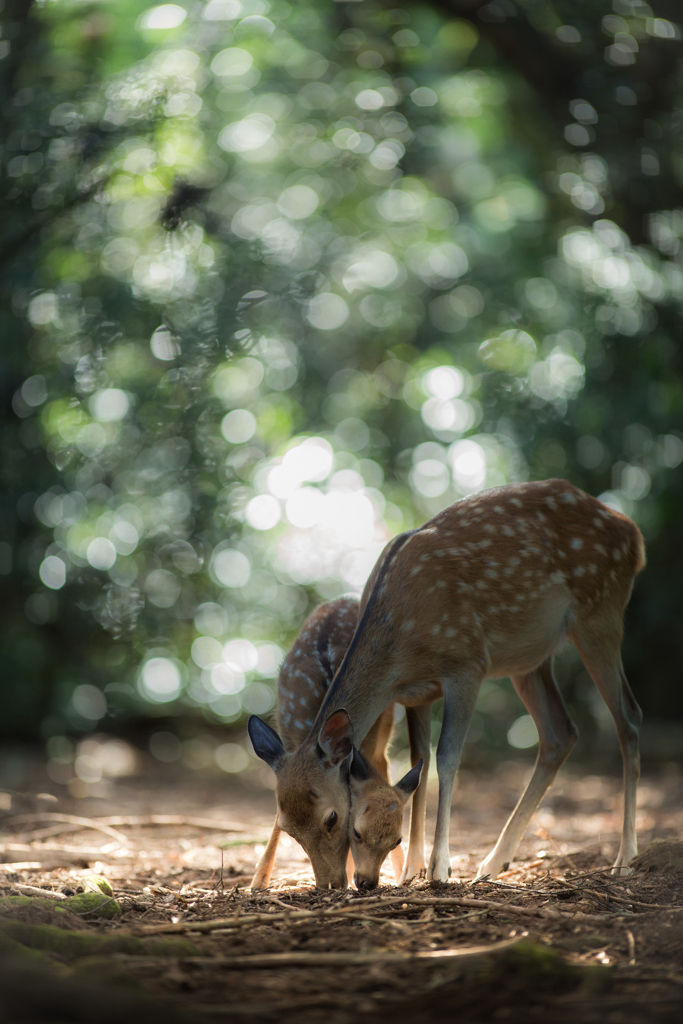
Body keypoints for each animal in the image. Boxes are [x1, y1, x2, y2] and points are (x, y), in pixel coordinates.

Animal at [248, 598, 423, 892]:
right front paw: (258, 880)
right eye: (289, 830)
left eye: (332, 818)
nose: (328, 883)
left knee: (384, 766)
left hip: (384, 727)